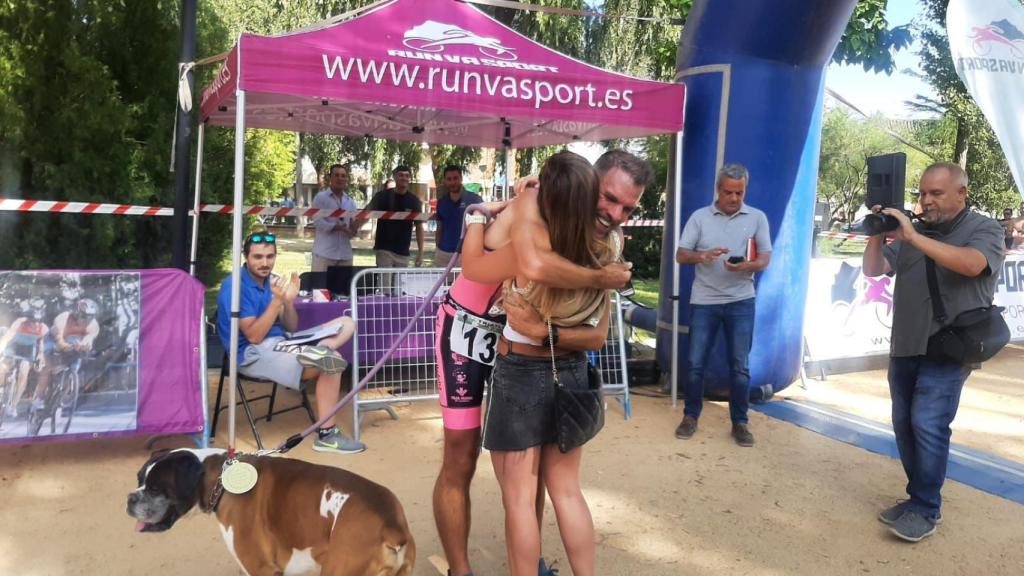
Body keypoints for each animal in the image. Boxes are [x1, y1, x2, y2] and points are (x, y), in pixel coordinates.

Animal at [125, 448, 413, 573]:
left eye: (155, 488)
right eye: (138, 479)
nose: (129, 498)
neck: (221, 479)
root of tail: (390, 523)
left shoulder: (260, 569)